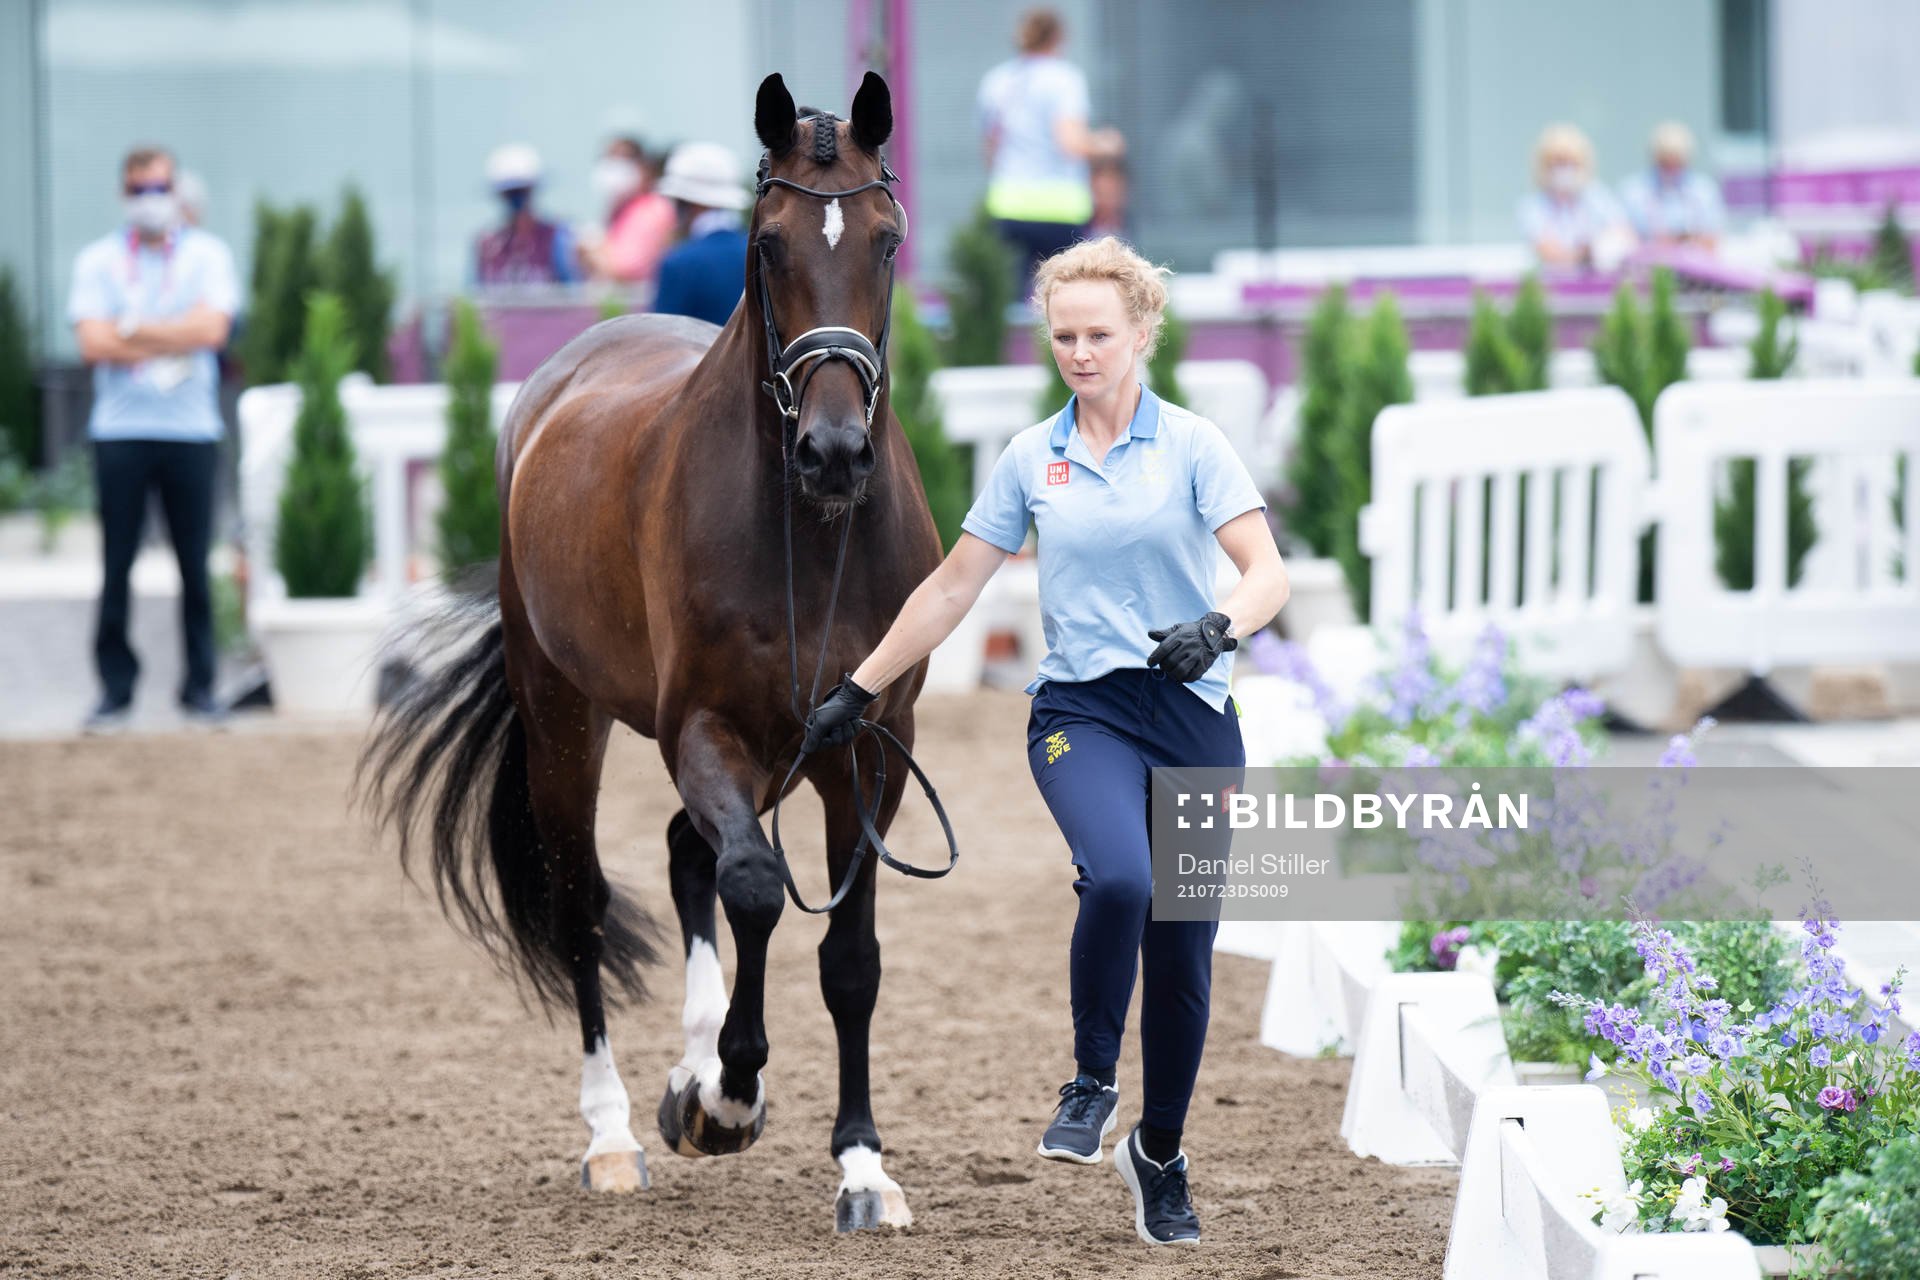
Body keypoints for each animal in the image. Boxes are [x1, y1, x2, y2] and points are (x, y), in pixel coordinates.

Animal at [359, 70, 942, 1232]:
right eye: (766, 244)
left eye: (888, 240)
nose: (835, 452)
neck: (811, 532)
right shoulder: (705, 728)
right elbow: (755, 885)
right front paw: (725, 1096)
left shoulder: (867, 748)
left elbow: (848, 957)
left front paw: (861, 1166)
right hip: (564, 719)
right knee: (584, 900)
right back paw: (618, 1133)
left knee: (686, 852)